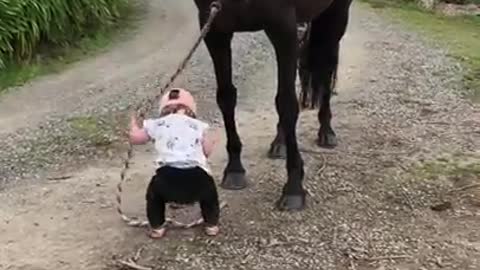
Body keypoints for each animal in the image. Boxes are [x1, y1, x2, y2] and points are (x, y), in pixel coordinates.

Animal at [193, 0, 354, 211]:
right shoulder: (215, 28)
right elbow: (226, 97)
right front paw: (234, 169)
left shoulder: (282, 26)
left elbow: (286, 103)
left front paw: (293, 188)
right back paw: (280, 142)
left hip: (336, 15)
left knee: (326, 71)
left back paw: (326, 133)